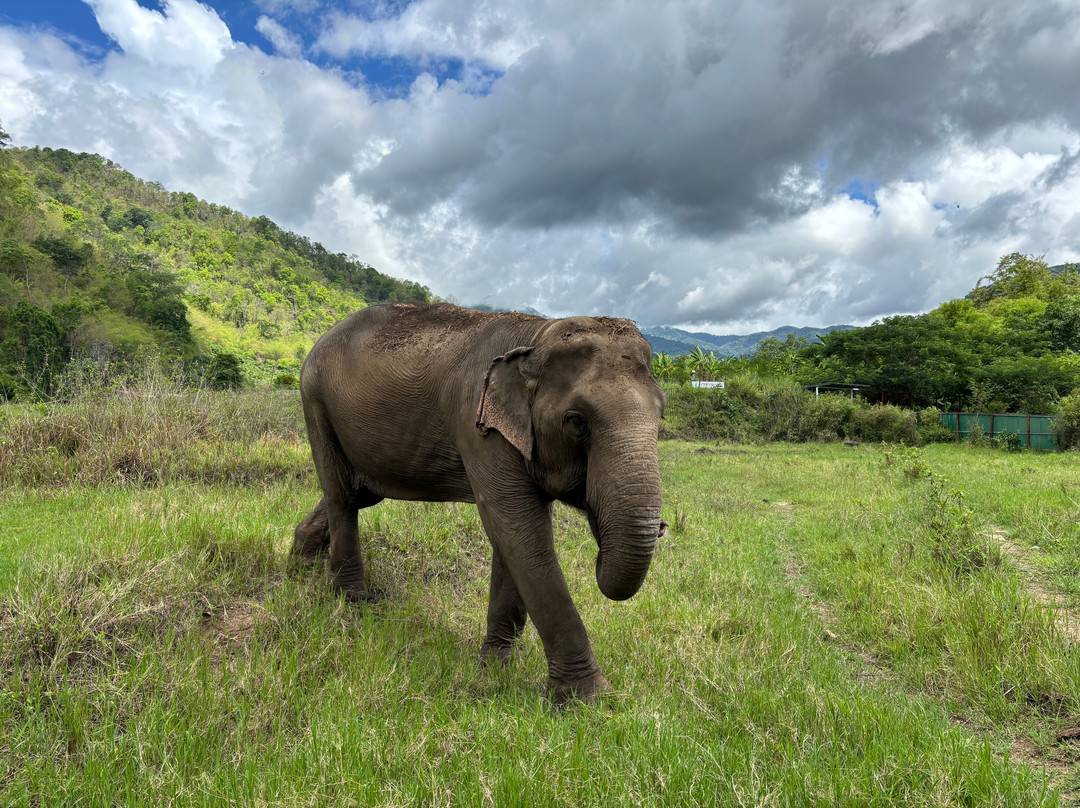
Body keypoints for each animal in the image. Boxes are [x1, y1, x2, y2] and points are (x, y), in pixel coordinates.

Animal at [291, 302, 666, 702]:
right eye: (577, 421)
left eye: (662, 414)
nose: (661, 526)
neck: (537, 336)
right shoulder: (477, 423)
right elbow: (520, 529)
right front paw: (588, 699)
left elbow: (512, 539)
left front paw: (494, 667)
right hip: (315, 400)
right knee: (342, 494)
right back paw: (354, 602)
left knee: (360, 493)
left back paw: (300, 565)